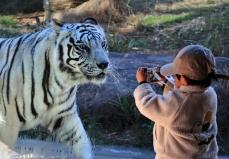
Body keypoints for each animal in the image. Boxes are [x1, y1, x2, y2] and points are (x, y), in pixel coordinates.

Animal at [0, 18, 110, 158]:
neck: (61, 83)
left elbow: (82, 142)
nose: (104, 64)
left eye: (103, 44)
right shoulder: (8, 122)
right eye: (83, 47)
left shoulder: (65, 116)